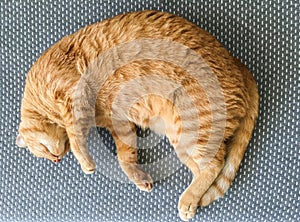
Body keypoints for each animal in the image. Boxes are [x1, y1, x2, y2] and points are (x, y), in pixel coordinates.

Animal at [15, 10, 258, 220]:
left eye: (43, 150)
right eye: (46, 155)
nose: (56, 160)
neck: (39, 93)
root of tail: (239, 65)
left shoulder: (75, 97)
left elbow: (75, 138)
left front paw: (85, 163)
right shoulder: (118, 122)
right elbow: (125, 156)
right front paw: (138, 177)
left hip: (191, 128)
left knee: (214, 164)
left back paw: (188, 201)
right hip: (182, 138)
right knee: (208, 165)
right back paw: (194, 201)